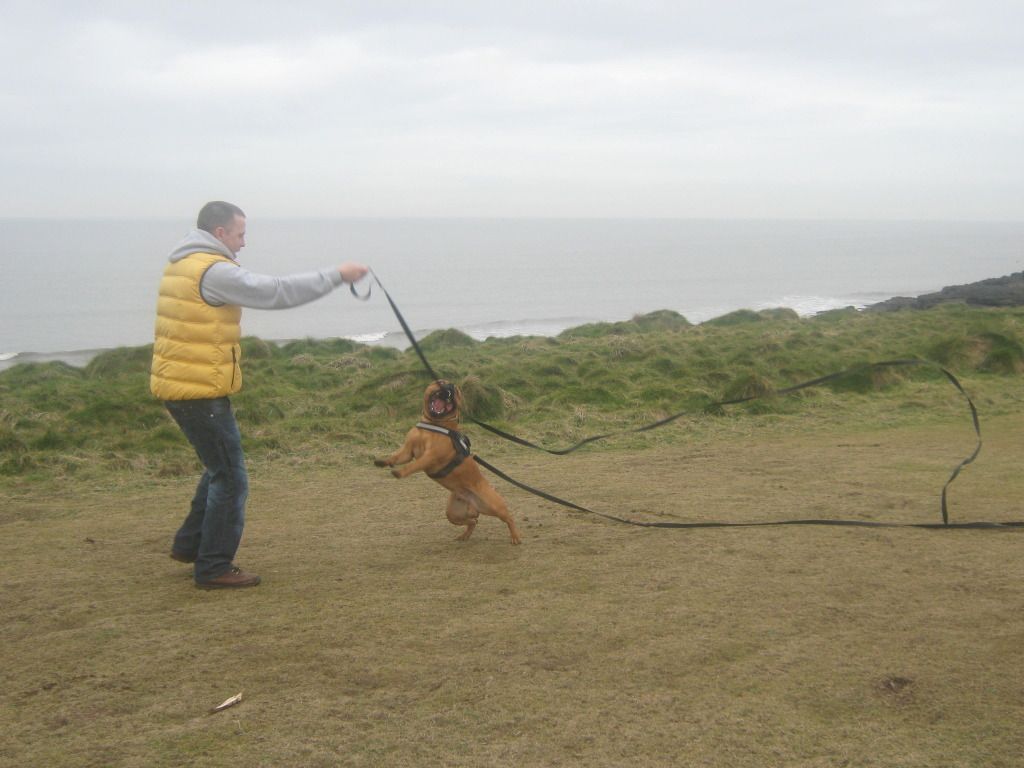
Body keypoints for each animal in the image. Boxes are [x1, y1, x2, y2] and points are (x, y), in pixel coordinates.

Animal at [374, 382, 524, 544]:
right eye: (441, 382)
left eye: (456, 390)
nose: (449, 389)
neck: (433, 424)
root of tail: (471, 502)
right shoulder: (407, 451)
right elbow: (395, 457)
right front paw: (382, 461)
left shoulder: (430, 456)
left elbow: (414, 465)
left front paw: (399, 472)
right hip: (454, 513)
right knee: (473, 521)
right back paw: (465, 535)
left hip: (493, 505)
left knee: (508, 517)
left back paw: (515, 536)